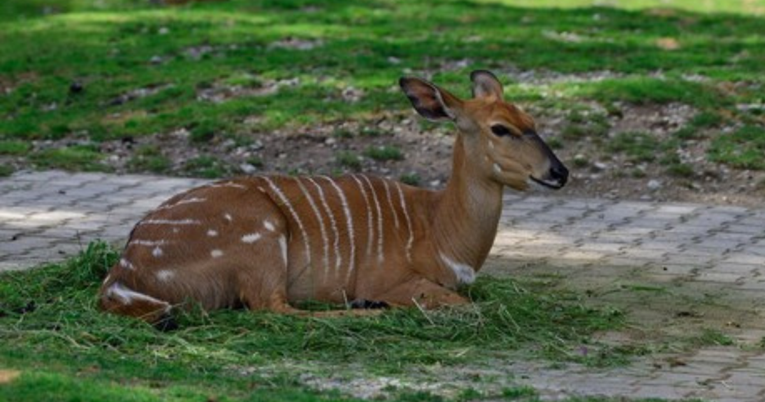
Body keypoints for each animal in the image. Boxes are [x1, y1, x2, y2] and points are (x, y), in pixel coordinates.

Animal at [97, 70, 568, 326]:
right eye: (500, 129)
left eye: (531, 120)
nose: (559, 172)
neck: (439, 231)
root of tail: (124, 272)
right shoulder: (395, 278)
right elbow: (467, 305)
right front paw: (379, 302)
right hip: (262, 237)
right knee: (273, 308)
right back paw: (370, 307)